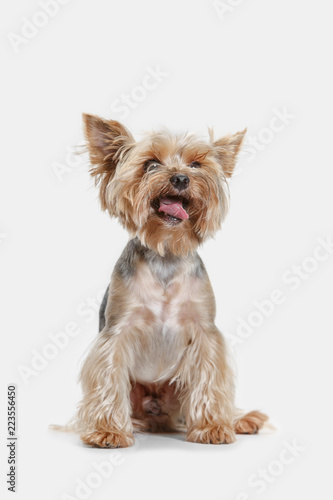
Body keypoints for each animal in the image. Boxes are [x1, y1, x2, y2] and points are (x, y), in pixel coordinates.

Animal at [71, 114, 266, 450]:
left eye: (197, 164)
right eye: (151, 164)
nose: (181, 179)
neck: (166, 251)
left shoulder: (205, 332)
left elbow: (209, 377)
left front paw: (212, 426)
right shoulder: (116, 332)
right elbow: (108, 375)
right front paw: (108, 431)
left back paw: (239, 419)